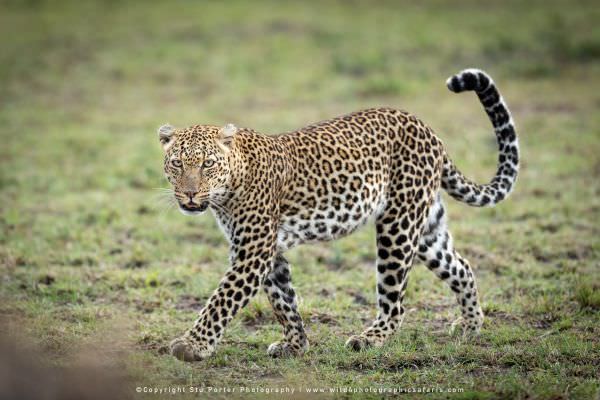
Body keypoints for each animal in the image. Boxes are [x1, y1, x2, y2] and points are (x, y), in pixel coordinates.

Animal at [159, 69, 520, 362]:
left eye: (207, 164)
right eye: (177, 163)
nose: (189, 194)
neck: (228, 188)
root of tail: (428, 129)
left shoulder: (254, 252)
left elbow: (221, 300)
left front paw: (192, 346)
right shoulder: (267, 252)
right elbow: (283, 301)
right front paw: (295, 345)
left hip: (397, 226)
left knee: (396, 300)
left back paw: (370, 339)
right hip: (426, 229)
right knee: (461, 266)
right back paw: (471, 324)